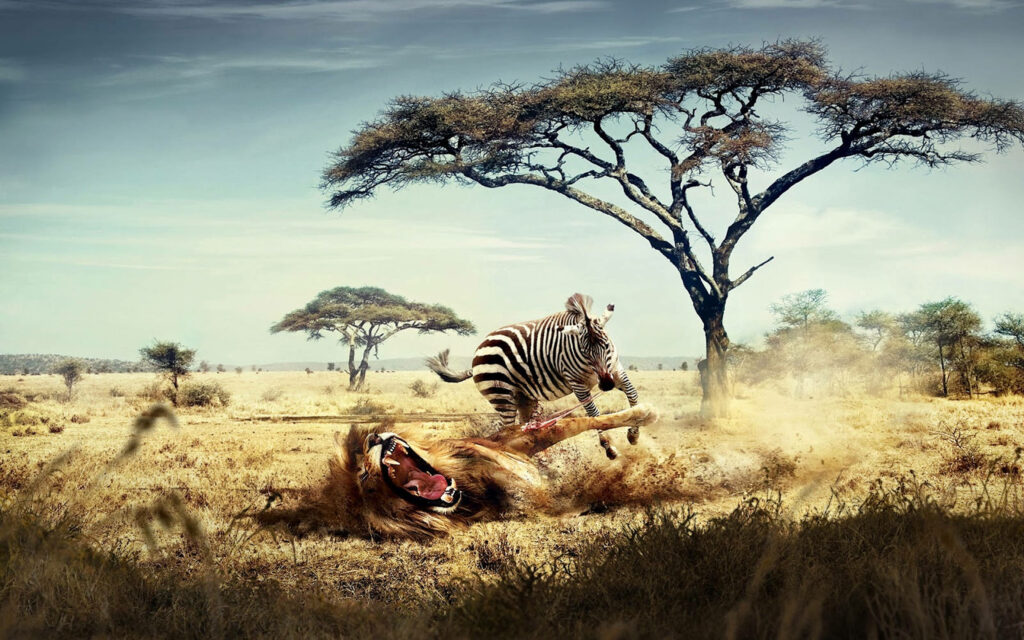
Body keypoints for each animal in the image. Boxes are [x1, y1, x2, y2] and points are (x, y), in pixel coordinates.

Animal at [274, 404, 658, 540]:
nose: (373, 438)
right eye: (365, 479)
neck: (469, 491)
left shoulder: (514, 442)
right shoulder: (520, 506)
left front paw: (642, 415)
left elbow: (578, 421)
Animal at [425, 293, 640, 459]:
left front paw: (634, 433)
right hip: (501, 395)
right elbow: (595, 415)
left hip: (524, 397)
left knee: (518, 429)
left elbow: (633, 395)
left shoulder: (615, 370)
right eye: (585, 351)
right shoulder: (577, 383)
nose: (606, 385)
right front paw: (609, 448)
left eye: (606, 345)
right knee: (506, 430)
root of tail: (479, 349)